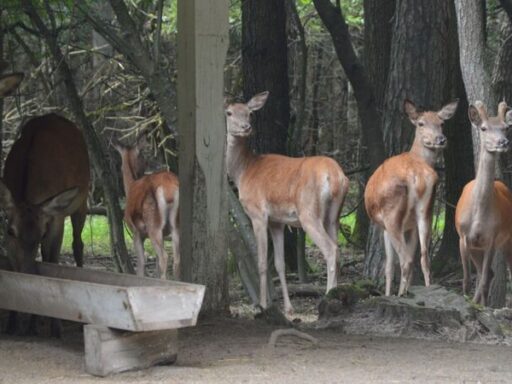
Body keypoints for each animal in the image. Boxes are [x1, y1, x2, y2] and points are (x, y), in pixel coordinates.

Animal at [0, 73, 90, 274]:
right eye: (10, 231)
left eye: (41, 234)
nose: (28, 271)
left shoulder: (56, 217)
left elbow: (53, 258)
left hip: (82, 200)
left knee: (78, 243)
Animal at [112, 138, 180, 280]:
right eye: (143, 157)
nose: (148, 163)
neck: (130, 187)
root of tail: (169, 189)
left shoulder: (136, 232)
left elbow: (141, 263)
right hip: (175, 224)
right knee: (176, 259)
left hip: (153, 223)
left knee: (164, 257)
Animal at [224, 91, 348, 314]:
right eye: (229, 113)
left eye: (249, 113)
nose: (246, 127)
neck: (243, 172)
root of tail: (335, 176)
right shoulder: (277, 221)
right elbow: (279, 264)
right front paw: (289, 308)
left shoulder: (257, 213)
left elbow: (262, 261)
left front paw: (263, 305)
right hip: (333, 215)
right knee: (337, 247)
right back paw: (335, 295)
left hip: (309, 212)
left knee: (331, 249)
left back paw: (326, 298)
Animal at [364, 99, 460, 296]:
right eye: (421, 123)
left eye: (441, 123)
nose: (441, 139)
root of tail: (414, 175)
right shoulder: (411, 226)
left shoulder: (383, 226)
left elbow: (388, 266)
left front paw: (389, 293)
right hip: (426, 210)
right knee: (423, 257)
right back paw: (425, 289)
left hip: (391, 214)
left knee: (405, 260)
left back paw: (400, 295)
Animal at [456, 101, 512, 306]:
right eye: (484, 128)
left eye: (505, 128)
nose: (503, 142)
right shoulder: (463, 237)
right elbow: (466, 279)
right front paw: (467, 302)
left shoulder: (492, 238)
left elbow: (485, 280)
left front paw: (482, 306)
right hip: (475, 247)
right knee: (485, 273)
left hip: (506, 240)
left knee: (494, 273)